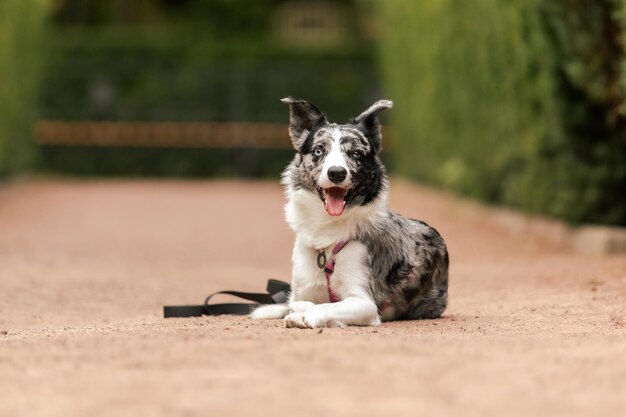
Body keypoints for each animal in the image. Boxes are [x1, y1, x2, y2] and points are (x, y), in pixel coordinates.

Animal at [250, 97, 448, 328]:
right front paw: (300, 312)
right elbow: (299, 303)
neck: (327, 232)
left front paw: (309, 316)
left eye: (356, 153)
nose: (336, 173)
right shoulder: (301, 291)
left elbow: (326, 306)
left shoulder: (365, 303)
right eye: (319, 150)